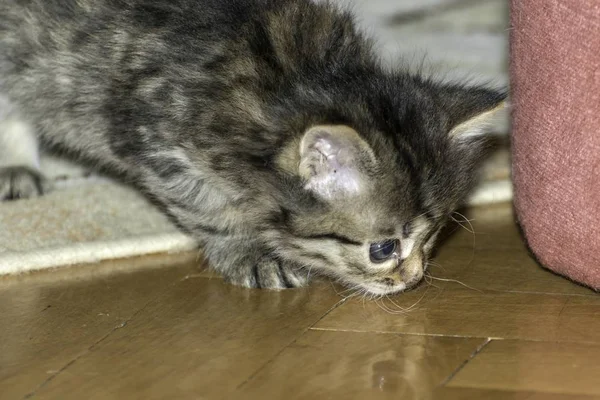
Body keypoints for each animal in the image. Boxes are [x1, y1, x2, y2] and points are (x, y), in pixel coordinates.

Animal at [0, 0, 506, 294]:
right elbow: (211, 209)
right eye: (383, 249)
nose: (413, 278)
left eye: (432, 234)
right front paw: (252, 253)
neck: (298, 77)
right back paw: (16, 166)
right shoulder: (158, 142)